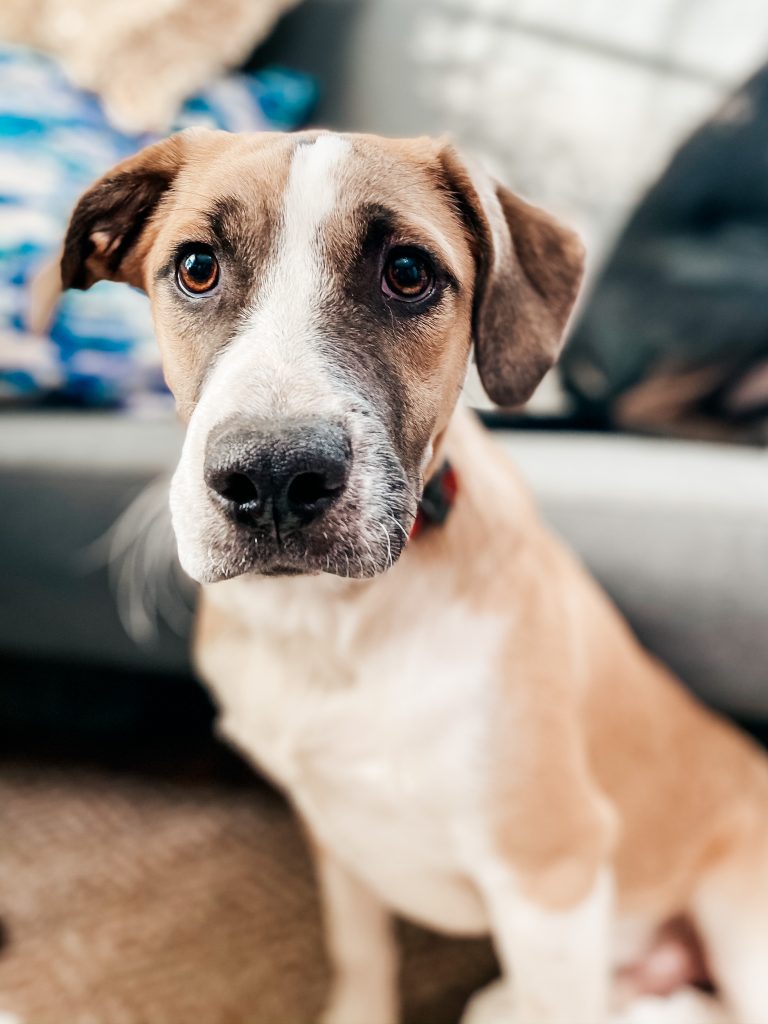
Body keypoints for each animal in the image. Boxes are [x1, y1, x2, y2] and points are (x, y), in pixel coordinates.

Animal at [61, 130, 768, 1024]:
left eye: (407, 272)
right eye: (195, 267)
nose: (274, 477)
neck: (332, 621)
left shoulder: (549, 874)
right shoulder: (335, 835)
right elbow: (360, 953)